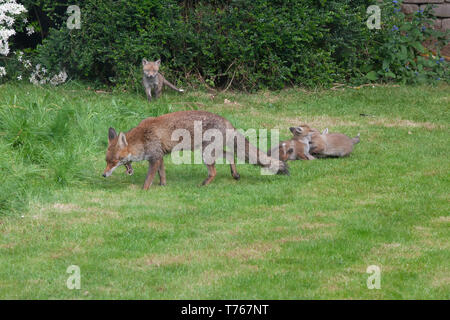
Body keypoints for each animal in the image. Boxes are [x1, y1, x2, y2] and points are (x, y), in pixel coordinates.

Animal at [103, 110, 288, 189]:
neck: (142, 138)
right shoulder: (160, 156)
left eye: (114, 161)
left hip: (206, 154)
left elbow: (148, 178)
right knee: (230, 154)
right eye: (106, 161)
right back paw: (235, 174)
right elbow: (162, 174)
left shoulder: (155, 157)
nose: (103, 175)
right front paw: (163, 185)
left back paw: (203, 184)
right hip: (211, 151)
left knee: (214, 172)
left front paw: (144, 191)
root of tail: (226, 121)